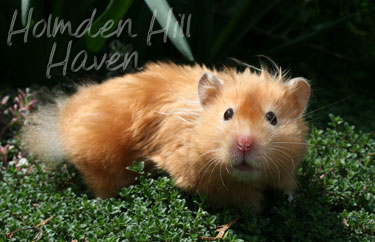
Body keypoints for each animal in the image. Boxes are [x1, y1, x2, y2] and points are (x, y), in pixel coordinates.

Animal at [22, 62, 312, 214]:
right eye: (227, 114)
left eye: (272, 118)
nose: (244, 144)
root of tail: (63, 119)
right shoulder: (201, 179)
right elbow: (239, 196)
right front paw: (258, 207)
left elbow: (286, 184)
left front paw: (289, 199)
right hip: (101, 162)